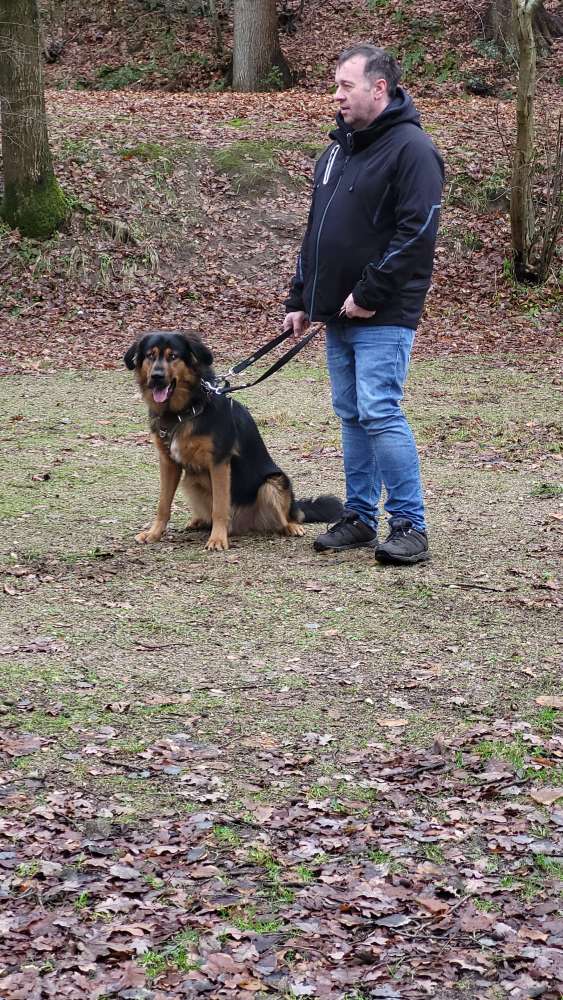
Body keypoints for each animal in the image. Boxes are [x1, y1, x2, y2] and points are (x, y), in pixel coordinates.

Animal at [123, 332, 344, 552]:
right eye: (150, 355)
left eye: (173, 356)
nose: (156, 377)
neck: (185, 411)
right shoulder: (168, 463)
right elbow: (163, 505)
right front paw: (153, 533)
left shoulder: (219, 462)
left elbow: (220, 507)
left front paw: (217, 539)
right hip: (192, 480)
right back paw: (199, 521)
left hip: (274, 482)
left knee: (289, 516)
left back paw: (291, 526)